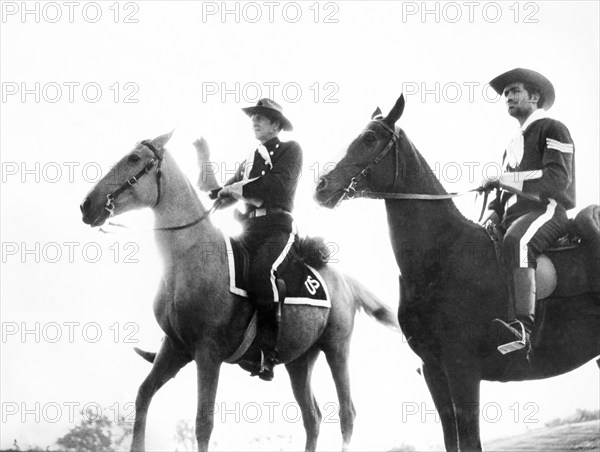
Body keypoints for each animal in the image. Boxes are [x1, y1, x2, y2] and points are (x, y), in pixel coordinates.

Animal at [316, 93, 596, 450]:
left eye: (369, 138)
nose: (321, 186)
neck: (442, 257)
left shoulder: (462, 370)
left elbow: (469, 439)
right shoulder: (434, 371)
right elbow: (452, 437)